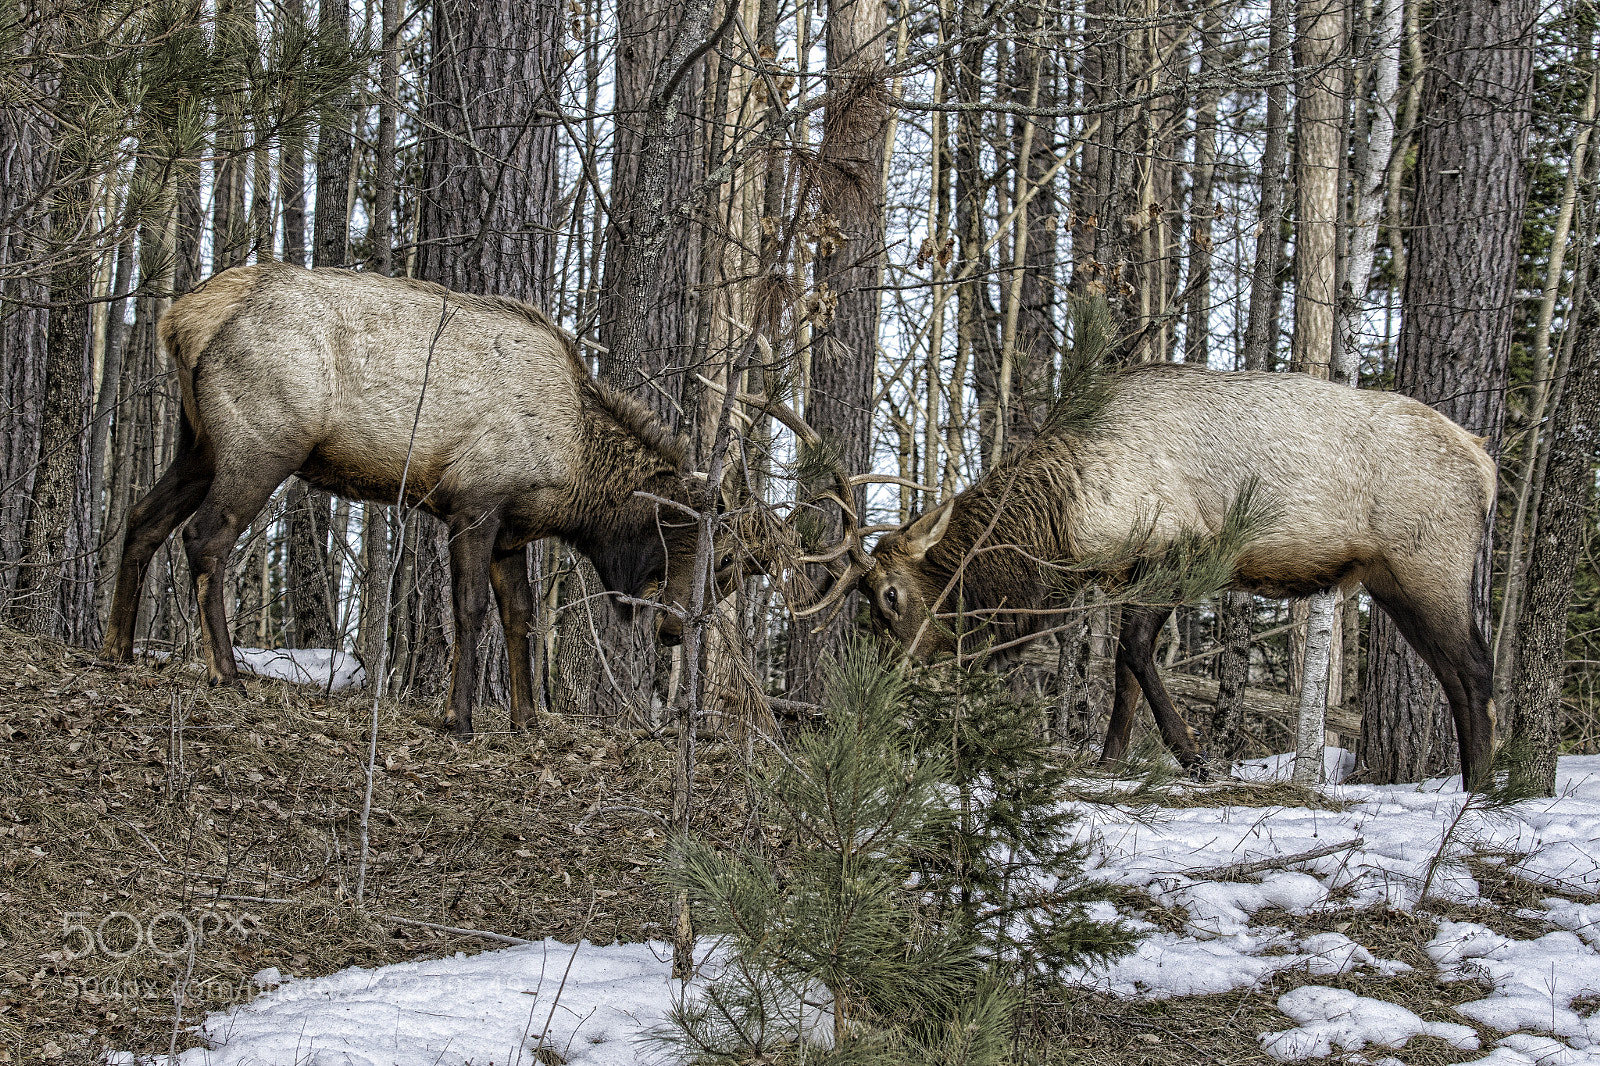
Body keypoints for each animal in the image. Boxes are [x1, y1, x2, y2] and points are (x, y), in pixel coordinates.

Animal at [103, 261, 725, 736]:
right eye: (684, 542)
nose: (675, 630)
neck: (573, 476)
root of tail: (181, 320)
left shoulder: (510, 532)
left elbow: (521, 615)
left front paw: (526, 719)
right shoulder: (474, 506)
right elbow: (470, 610)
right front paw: (459, 717)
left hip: (198, 443)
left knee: (141, 517)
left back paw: (117, 649)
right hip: (261, 442)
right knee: (204, 536)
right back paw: (225, 672)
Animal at [784, 361, 1498, 788]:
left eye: (889, 594)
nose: (885, 674)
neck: (1064, 516)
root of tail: (1486, 464)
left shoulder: (1174, 552)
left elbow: (1131, 654)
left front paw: (1192, 754)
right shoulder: (1128, 571)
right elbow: (1126, 672)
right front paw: (1111, 756)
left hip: (1429, 564)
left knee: (1473, 669)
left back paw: (1482, 785)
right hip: (1393, 580)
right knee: (1461, 671)